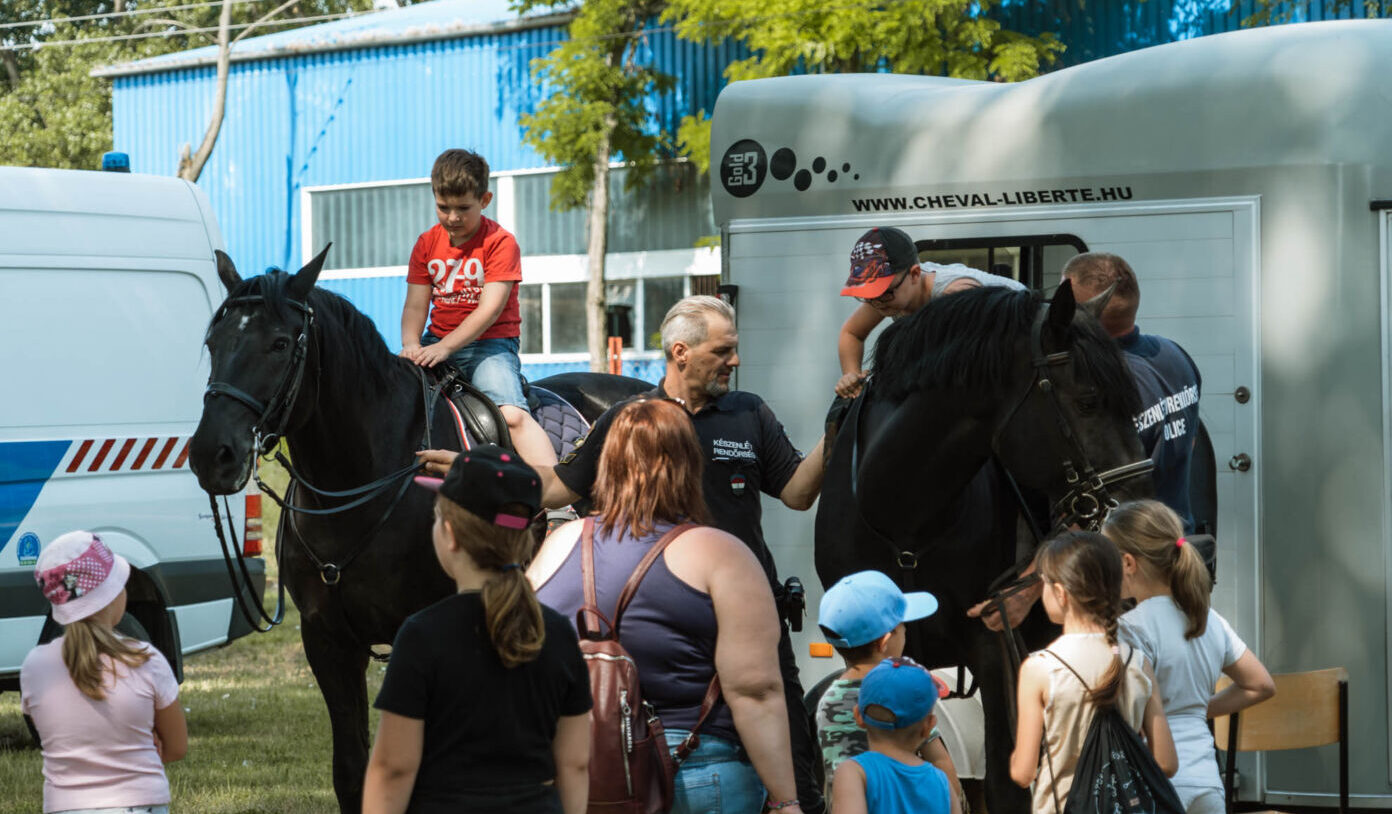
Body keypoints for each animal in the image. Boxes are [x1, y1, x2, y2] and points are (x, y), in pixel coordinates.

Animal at [188, 248, 649, 813]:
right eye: (214, 342)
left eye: (278, 344)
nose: (212, 454)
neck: (362, 481)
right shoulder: (328, 641)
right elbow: (353, 772)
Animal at [814, 281, 1153, 814]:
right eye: (1089, 401)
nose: (1141, 503)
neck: (904, 512)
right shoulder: (861, 646)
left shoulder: (994, 648)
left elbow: (1005, 784)